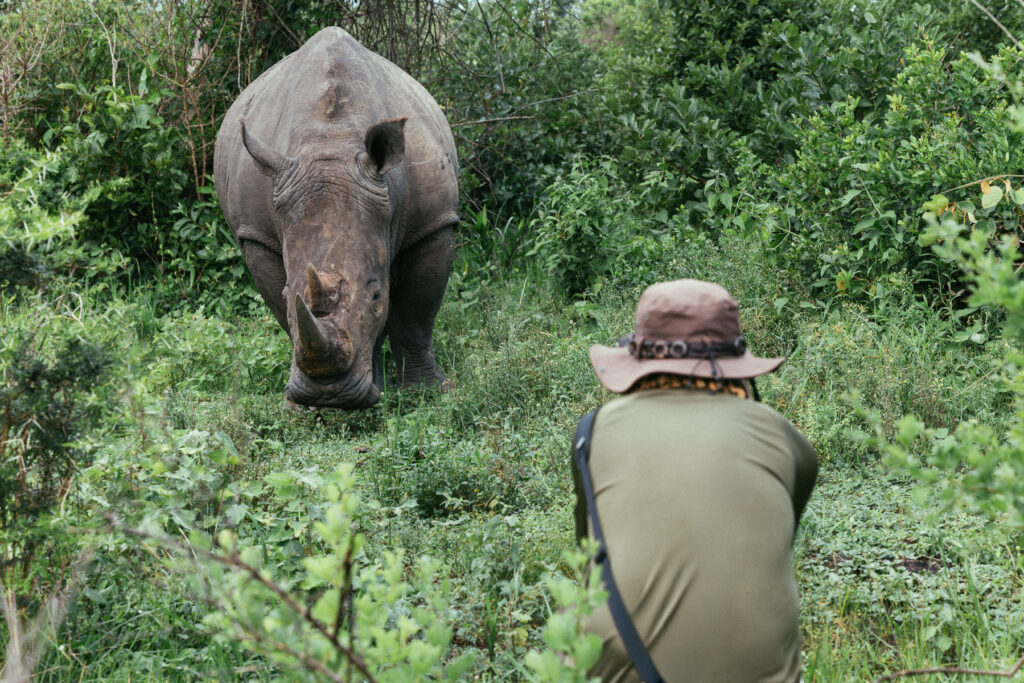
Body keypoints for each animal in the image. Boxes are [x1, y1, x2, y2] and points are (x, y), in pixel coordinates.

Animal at [214, 27, 458, 409]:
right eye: (287, 294)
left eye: (376, 296)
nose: (329, 395)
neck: (331, 141)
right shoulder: (256, 235)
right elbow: (287, 315)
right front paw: (298, 408)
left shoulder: (432, 224)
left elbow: (415, 314)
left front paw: (428, 394)